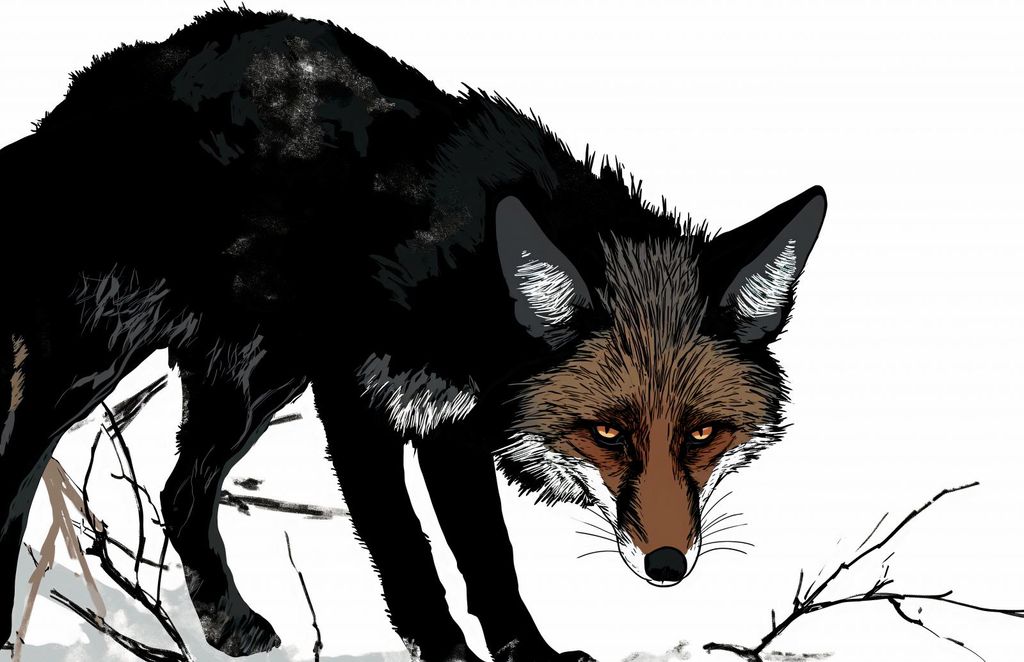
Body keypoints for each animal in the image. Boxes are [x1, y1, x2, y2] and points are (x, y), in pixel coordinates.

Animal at [0, 7, 827, 662]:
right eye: (607, 433)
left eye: (702, 434)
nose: (667, 566)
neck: (459, 276)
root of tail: (84, 95)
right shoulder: (356, 404)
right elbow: (406, 549)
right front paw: (447, 653)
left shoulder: (448, 423)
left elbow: (488, 556)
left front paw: (528, 654)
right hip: (92, 364)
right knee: (15, 474)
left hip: (256, 383)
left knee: (180, 491)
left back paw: (227, 624)